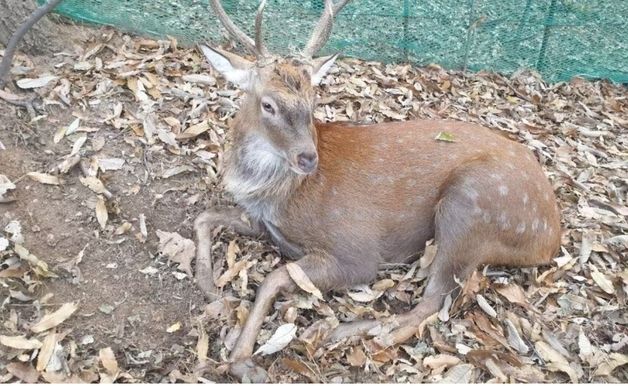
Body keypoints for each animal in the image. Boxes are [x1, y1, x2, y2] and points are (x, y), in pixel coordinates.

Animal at [194, 0, 560, 380]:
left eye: (313, 100)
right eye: (268, 104)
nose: (308, 157)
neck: (278, 195)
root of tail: (551, 236)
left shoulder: (356, 251)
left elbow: (274, 277)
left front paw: (242, 361)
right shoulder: (262, 221)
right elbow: (204, 216)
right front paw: (209, 287)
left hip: (472, 205)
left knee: (432, 303)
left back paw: (337, 332)